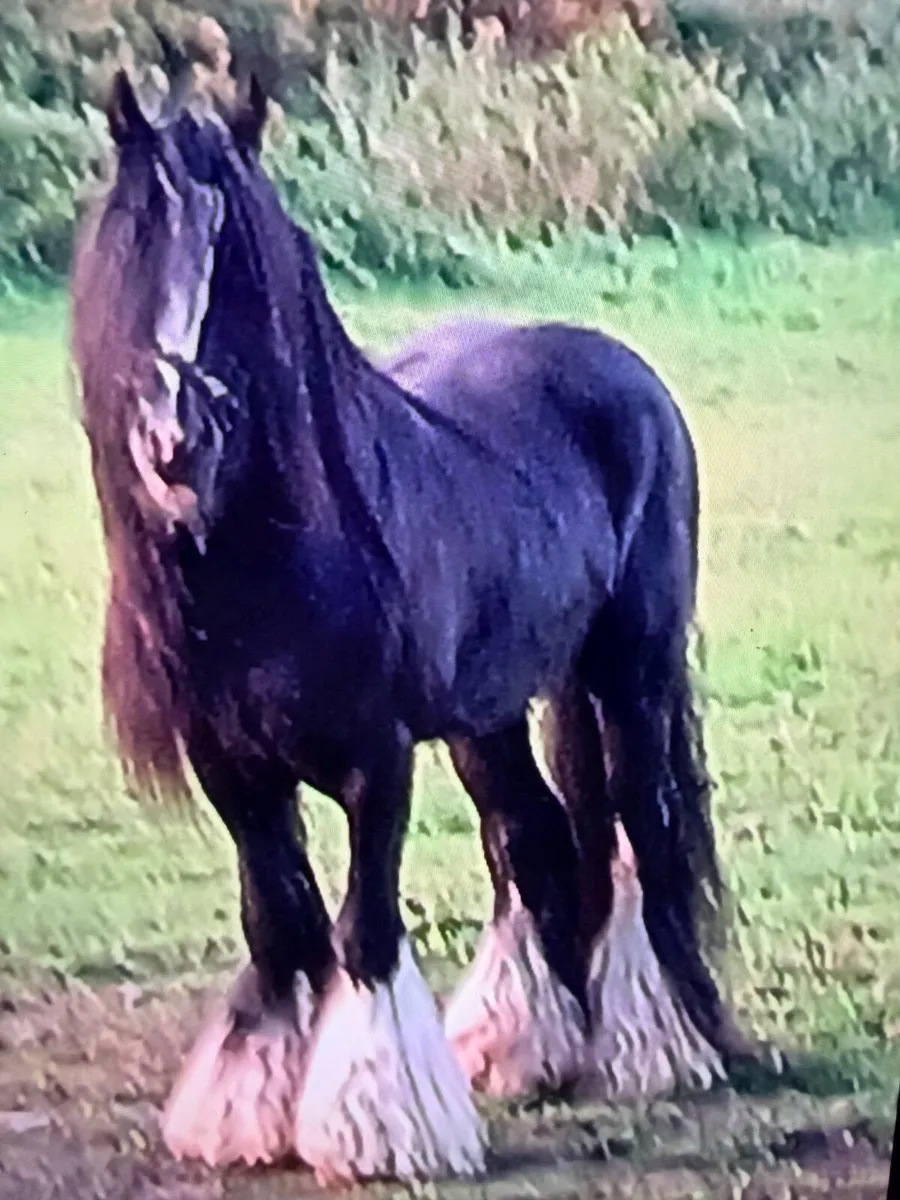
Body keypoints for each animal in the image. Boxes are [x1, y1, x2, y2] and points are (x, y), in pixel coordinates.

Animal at [70, 69, 749, 1185]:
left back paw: (666, 1044)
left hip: (632, 673)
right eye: (132, 235)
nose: (176, 441)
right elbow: (280, 920)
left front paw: (382, 1124)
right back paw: (527, 1044)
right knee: (530, 835)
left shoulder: (375, 762)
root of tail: (619, 368)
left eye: (242, 258)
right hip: (489, 714)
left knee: (640, 832)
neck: (272, 564)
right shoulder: (234, 773)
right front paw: (246, 1112)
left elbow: (363, 931)